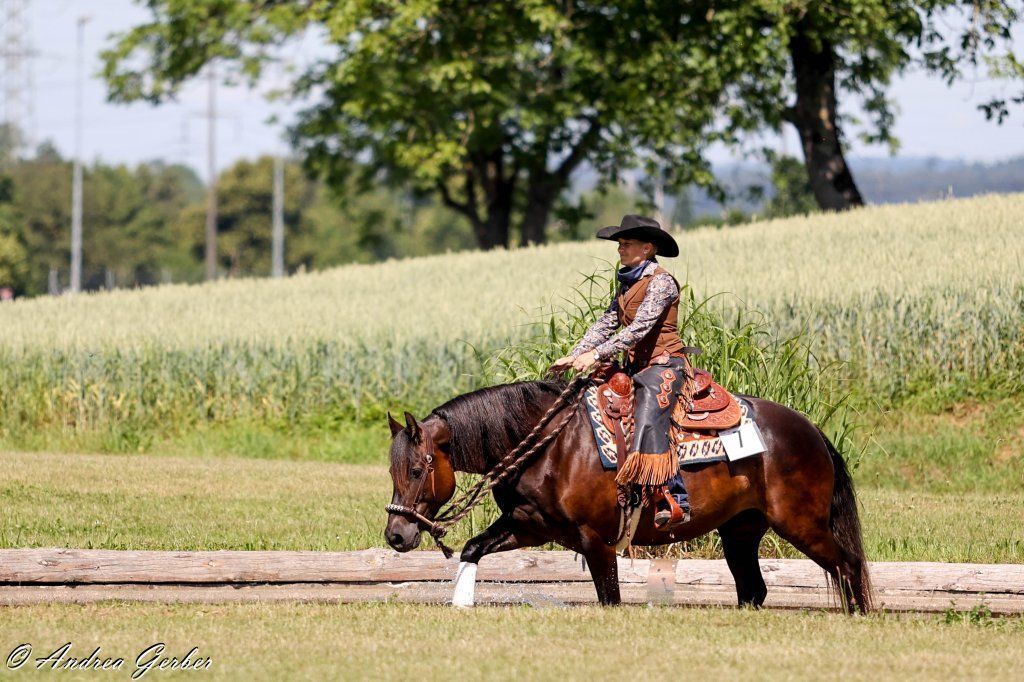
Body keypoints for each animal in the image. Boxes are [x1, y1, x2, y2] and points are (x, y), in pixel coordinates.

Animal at [384, 379, 872, 612]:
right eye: (391, 469)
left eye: (416, 469)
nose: (396, 535)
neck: (552, 446)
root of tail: (811, 430)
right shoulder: (530, 526)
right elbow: (472, 548)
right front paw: (461, 602)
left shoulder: (595, 539)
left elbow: (609, 596)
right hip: (741, 531)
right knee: (754, 587)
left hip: (801, 523)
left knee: (848, 564)